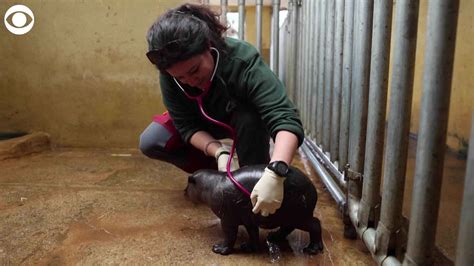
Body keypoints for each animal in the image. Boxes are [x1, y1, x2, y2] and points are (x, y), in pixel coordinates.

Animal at [184, 164, 322, 256]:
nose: (184, 191)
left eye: (188, 182)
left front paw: (218, 249)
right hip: (290, 217)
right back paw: (273, 236)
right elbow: (253, 233)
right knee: (287, 228)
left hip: (299, 216)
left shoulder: (227, 220)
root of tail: (312, 187)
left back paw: (312, 249)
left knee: (315, 223)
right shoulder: (249, 218)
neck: (210, 185)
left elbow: (229, 235)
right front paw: (249, 247)